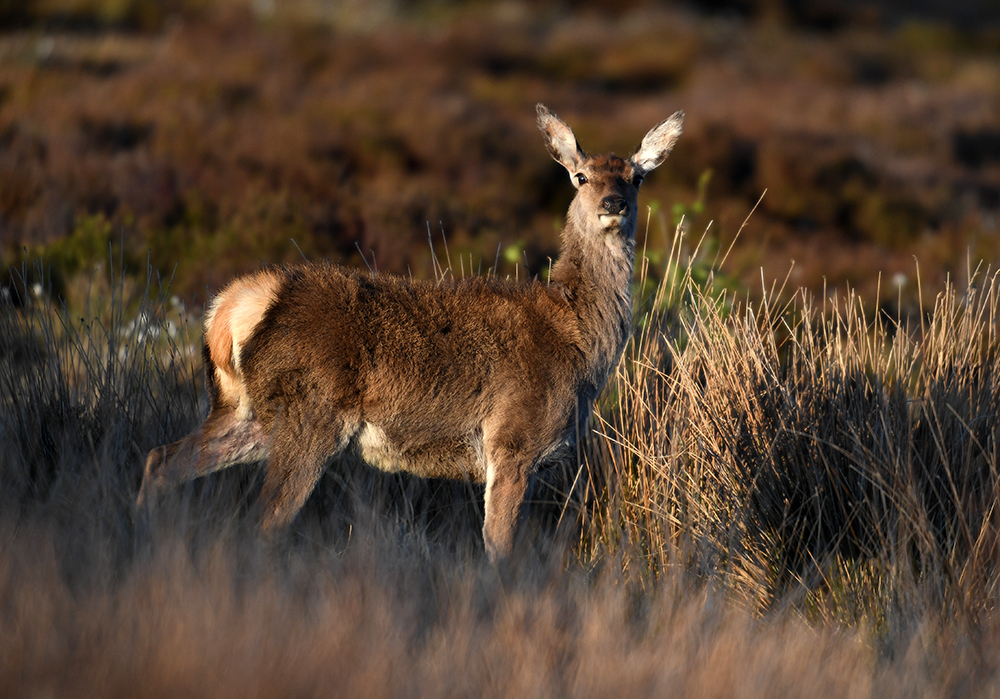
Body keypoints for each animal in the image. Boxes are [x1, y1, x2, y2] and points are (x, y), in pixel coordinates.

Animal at [137, 104, 684, 562]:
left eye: (635, 177)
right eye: (580, 175)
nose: (612, 202)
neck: (577, 341)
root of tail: (232, 309)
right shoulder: (513, 439)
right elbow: (499, 548)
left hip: (245, 410)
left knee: (162, 458)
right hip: (310, 410)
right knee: (262, 520)